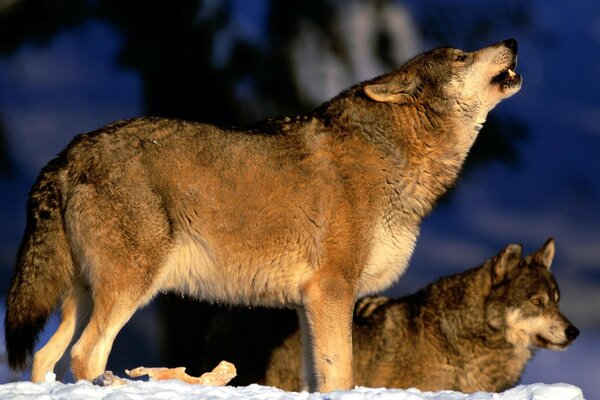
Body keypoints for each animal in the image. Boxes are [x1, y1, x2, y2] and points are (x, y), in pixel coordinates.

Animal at [3, 38, 520, 390]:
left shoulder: (309, 303)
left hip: (83, 297)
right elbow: (342, 374)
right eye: (460, 56)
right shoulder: (333, 289)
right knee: (85, 356)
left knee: (44, 359)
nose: (512, 43)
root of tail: (69, 153)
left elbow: (318, 377)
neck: (396, 156)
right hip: (129, 290)